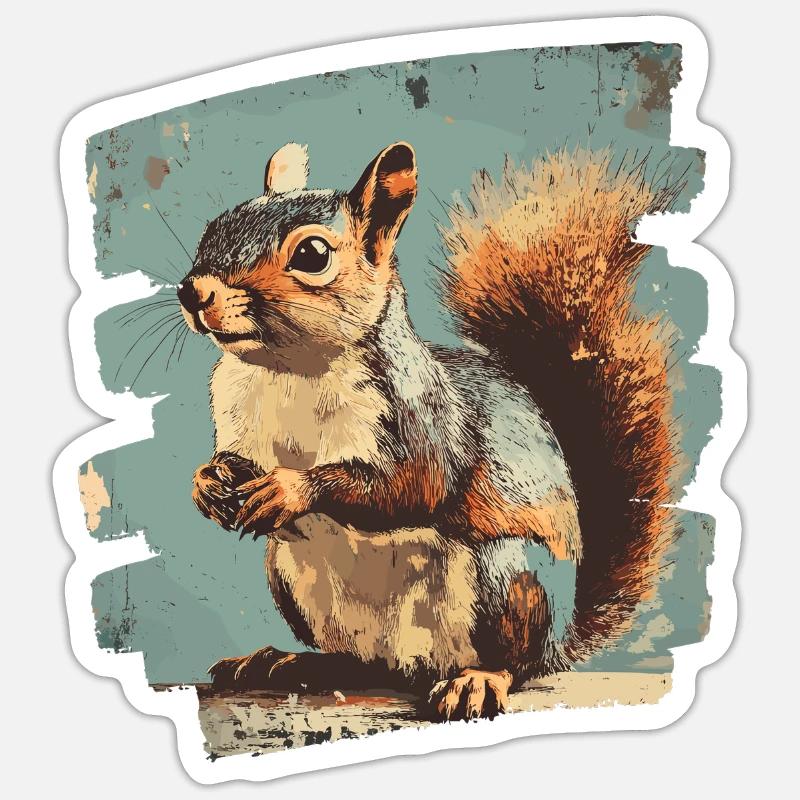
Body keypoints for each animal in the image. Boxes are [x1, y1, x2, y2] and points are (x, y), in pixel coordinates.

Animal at [178, 140, 682, 720]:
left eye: (313, 255)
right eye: (214, 226)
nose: (193, 292)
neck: (287, 370)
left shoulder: (421, 417)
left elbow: (412, 483)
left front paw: (288, 489)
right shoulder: (236, 418)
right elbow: (232, 461)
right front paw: (206, 483)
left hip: (505, 580)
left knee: (517, 662)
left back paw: (478, 679)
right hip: (292, 579)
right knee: (359, 663)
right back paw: (287, 662)